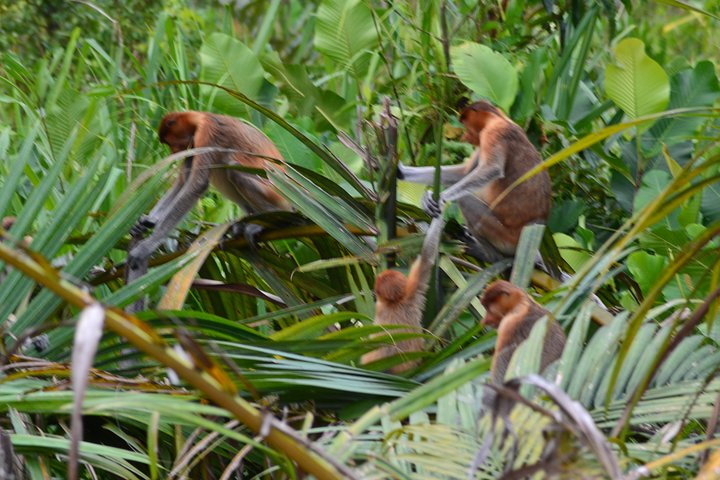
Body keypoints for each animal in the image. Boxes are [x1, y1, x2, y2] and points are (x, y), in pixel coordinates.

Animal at [126, 111, 292, 288]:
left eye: (170, 142)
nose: (173, 152)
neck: (199, 119)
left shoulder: (206, 135)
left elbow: (196, 185)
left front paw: (145, 248)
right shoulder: (193, 144)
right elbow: (183, 181)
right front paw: (146, 222)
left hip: (275, 193)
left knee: (233, 168)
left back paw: (272, 219)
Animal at [398, 100, 551, 262]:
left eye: (466, 126)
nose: (465, 136)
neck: (499, 118)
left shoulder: (493, 134)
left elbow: (491, 169)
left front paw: (442, 199)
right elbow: (464, 173)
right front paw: (401, 172)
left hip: (505, 237)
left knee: (465, 200)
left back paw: (492, 256)